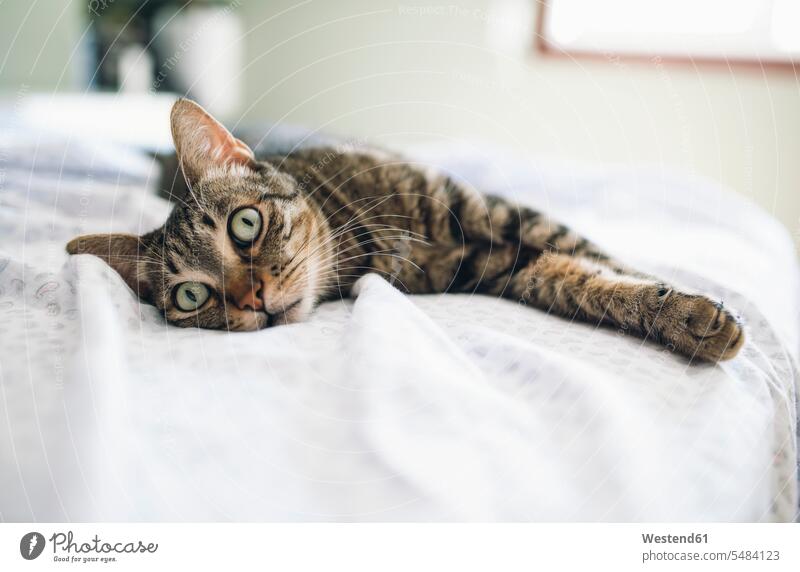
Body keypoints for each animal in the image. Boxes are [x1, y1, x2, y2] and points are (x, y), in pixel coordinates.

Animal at [67, 99, 744, 362]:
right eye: (192, 296)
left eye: (245, 224)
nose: (251, 299)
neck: (369, 239)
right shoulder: (503, 269)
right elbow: (582, 282)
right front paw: (686, 318)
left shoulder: (503, 215)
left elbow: (602, 259)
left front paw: (693, 312)